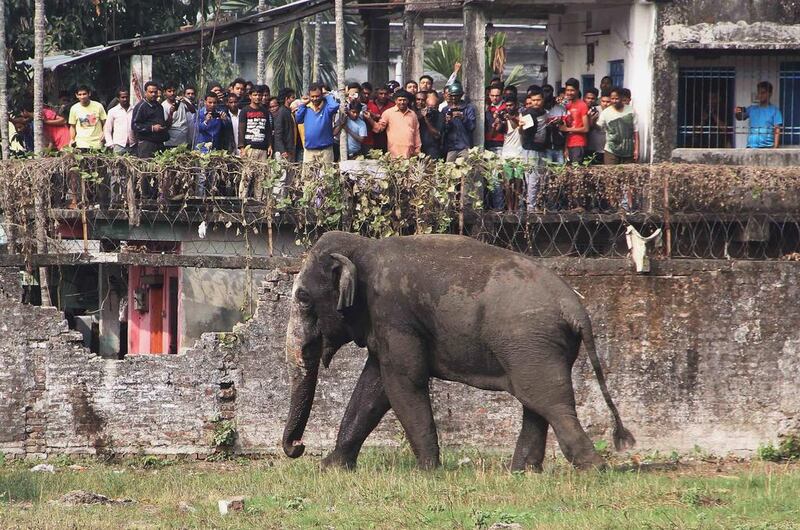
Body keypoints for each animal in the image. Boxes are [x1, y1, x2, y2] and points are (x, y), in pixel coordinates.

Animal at [284, 229, 636, 468]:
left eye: (303, 298)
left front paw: (428, 471)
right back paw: (522, 473)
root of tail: (576, 308)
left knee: (550, 402)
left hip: (531, 342)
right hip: (538, 347)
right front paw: (332, 468)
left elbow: (403, 381)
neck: (365, 246)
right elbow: (374, 386)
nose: (298, 446)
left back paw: (592, 469)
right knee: (536, 401)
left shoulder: (393, 312)